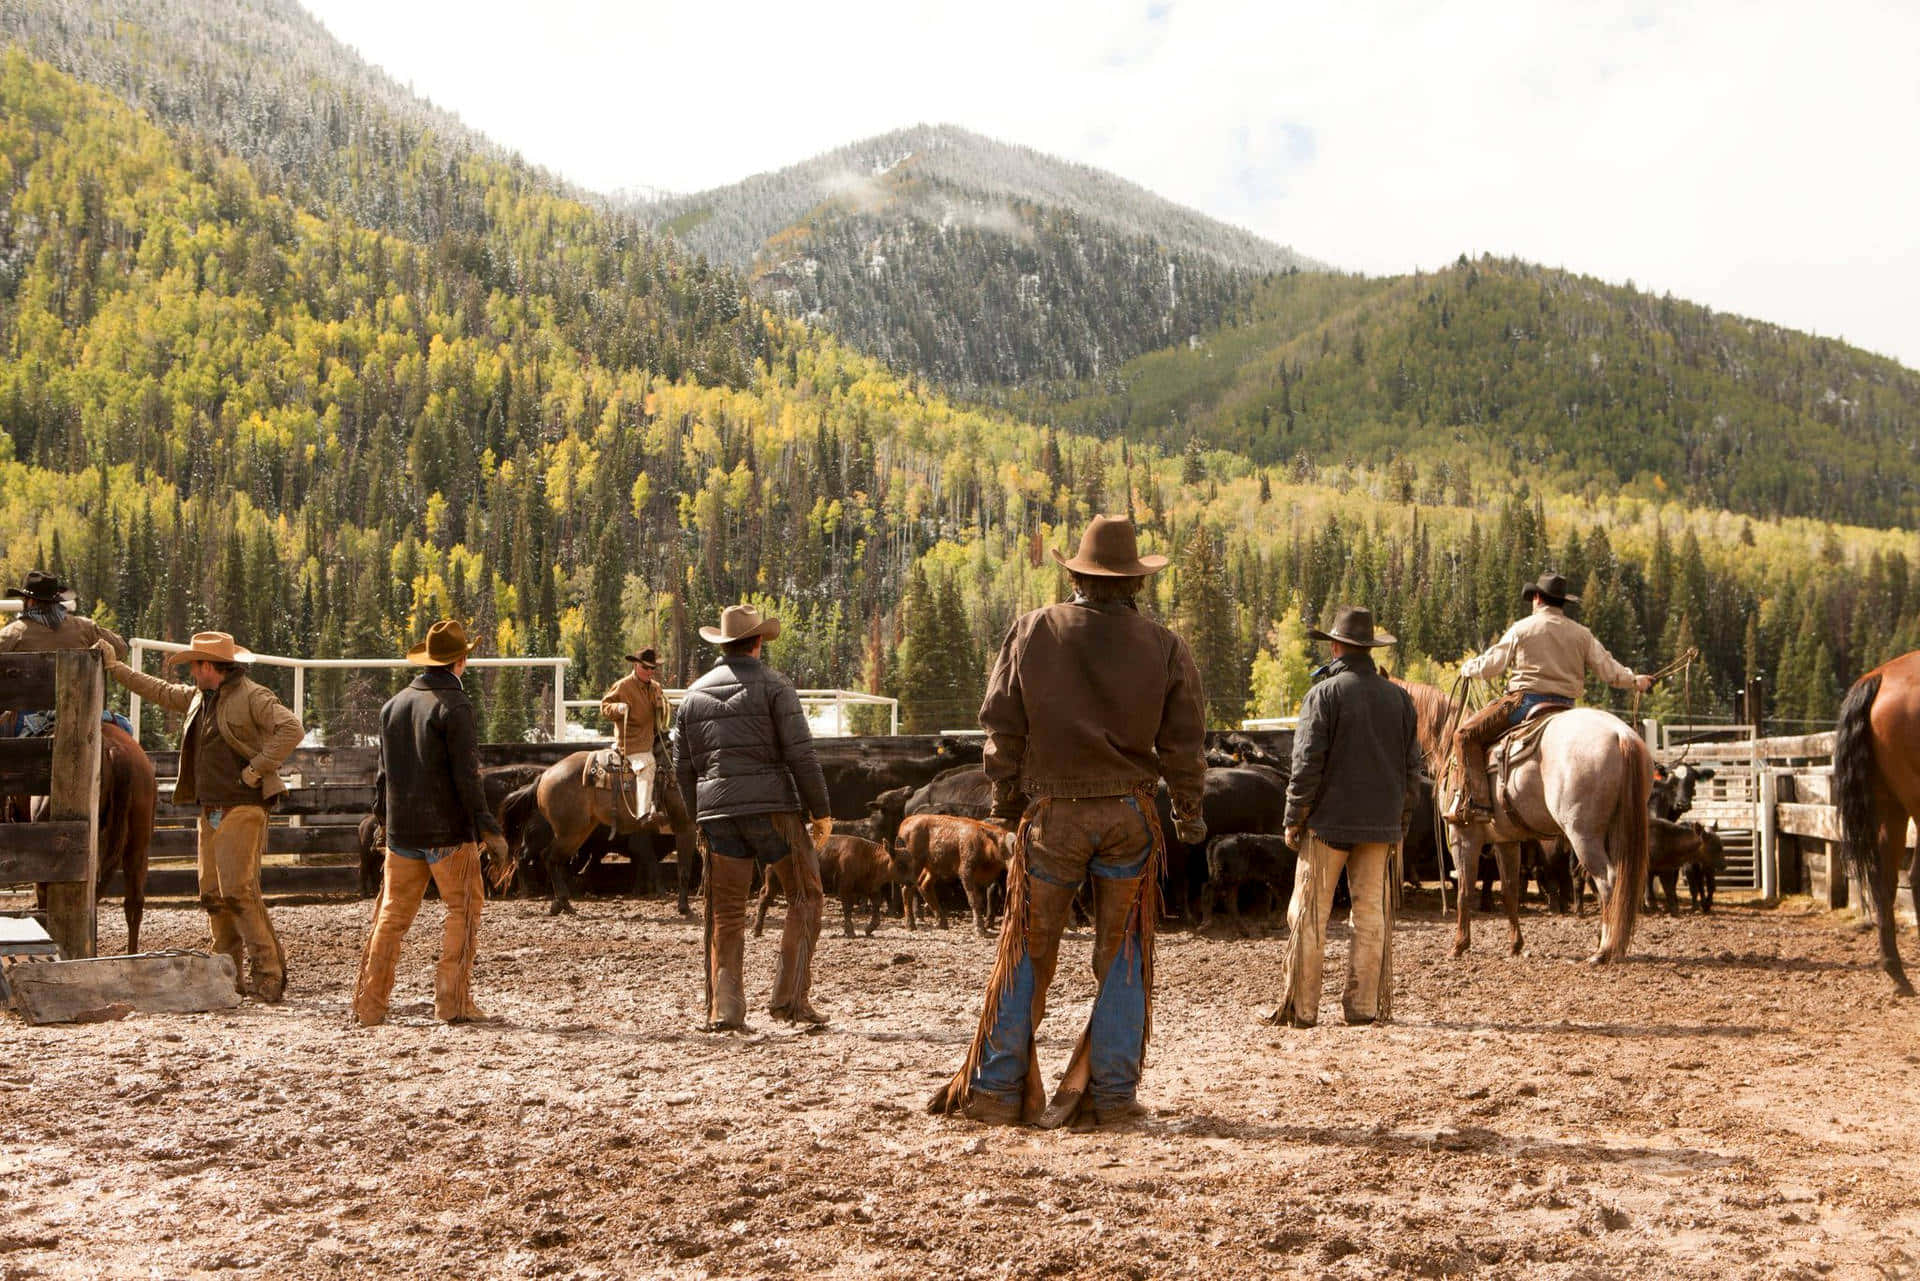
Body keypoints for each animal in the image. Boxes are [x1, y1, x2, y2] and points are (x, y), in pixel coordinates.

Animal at [1397, 679, 1651, 960]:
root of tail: (1620, 735)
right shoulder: (1505, 840)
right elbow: (1509, 889)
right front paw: (1515, 945)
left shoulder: (1462, 836)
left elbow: (1464, 889)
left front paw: (1459, 945)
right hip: (1616, 832)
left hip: (1584, 836)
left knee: (1608, 882)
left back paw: (1604, 950)